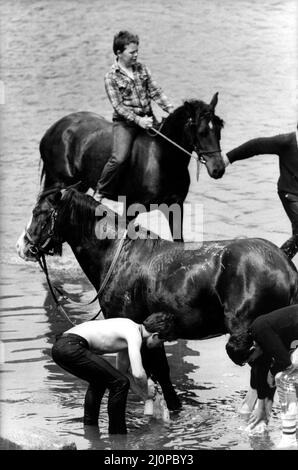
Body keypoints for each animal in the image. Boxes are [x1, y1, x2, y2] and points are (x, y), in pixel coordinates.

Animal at [16, 187, 298, 412]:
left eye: (39, 212)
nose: (22, 246)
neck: (118, 257)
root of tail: (285, 266)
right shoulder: (151, 333)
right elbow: (162, 372)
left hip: (243, 335)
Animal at [37, 92, 225, 239]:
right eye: (202, 132)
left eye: (219, 128)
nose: (218, 169)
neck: (163, 160)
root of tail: (53, 130)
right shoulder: (131, 208)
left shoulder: (175, 207)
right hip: (59, 182)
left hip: (79, 185)